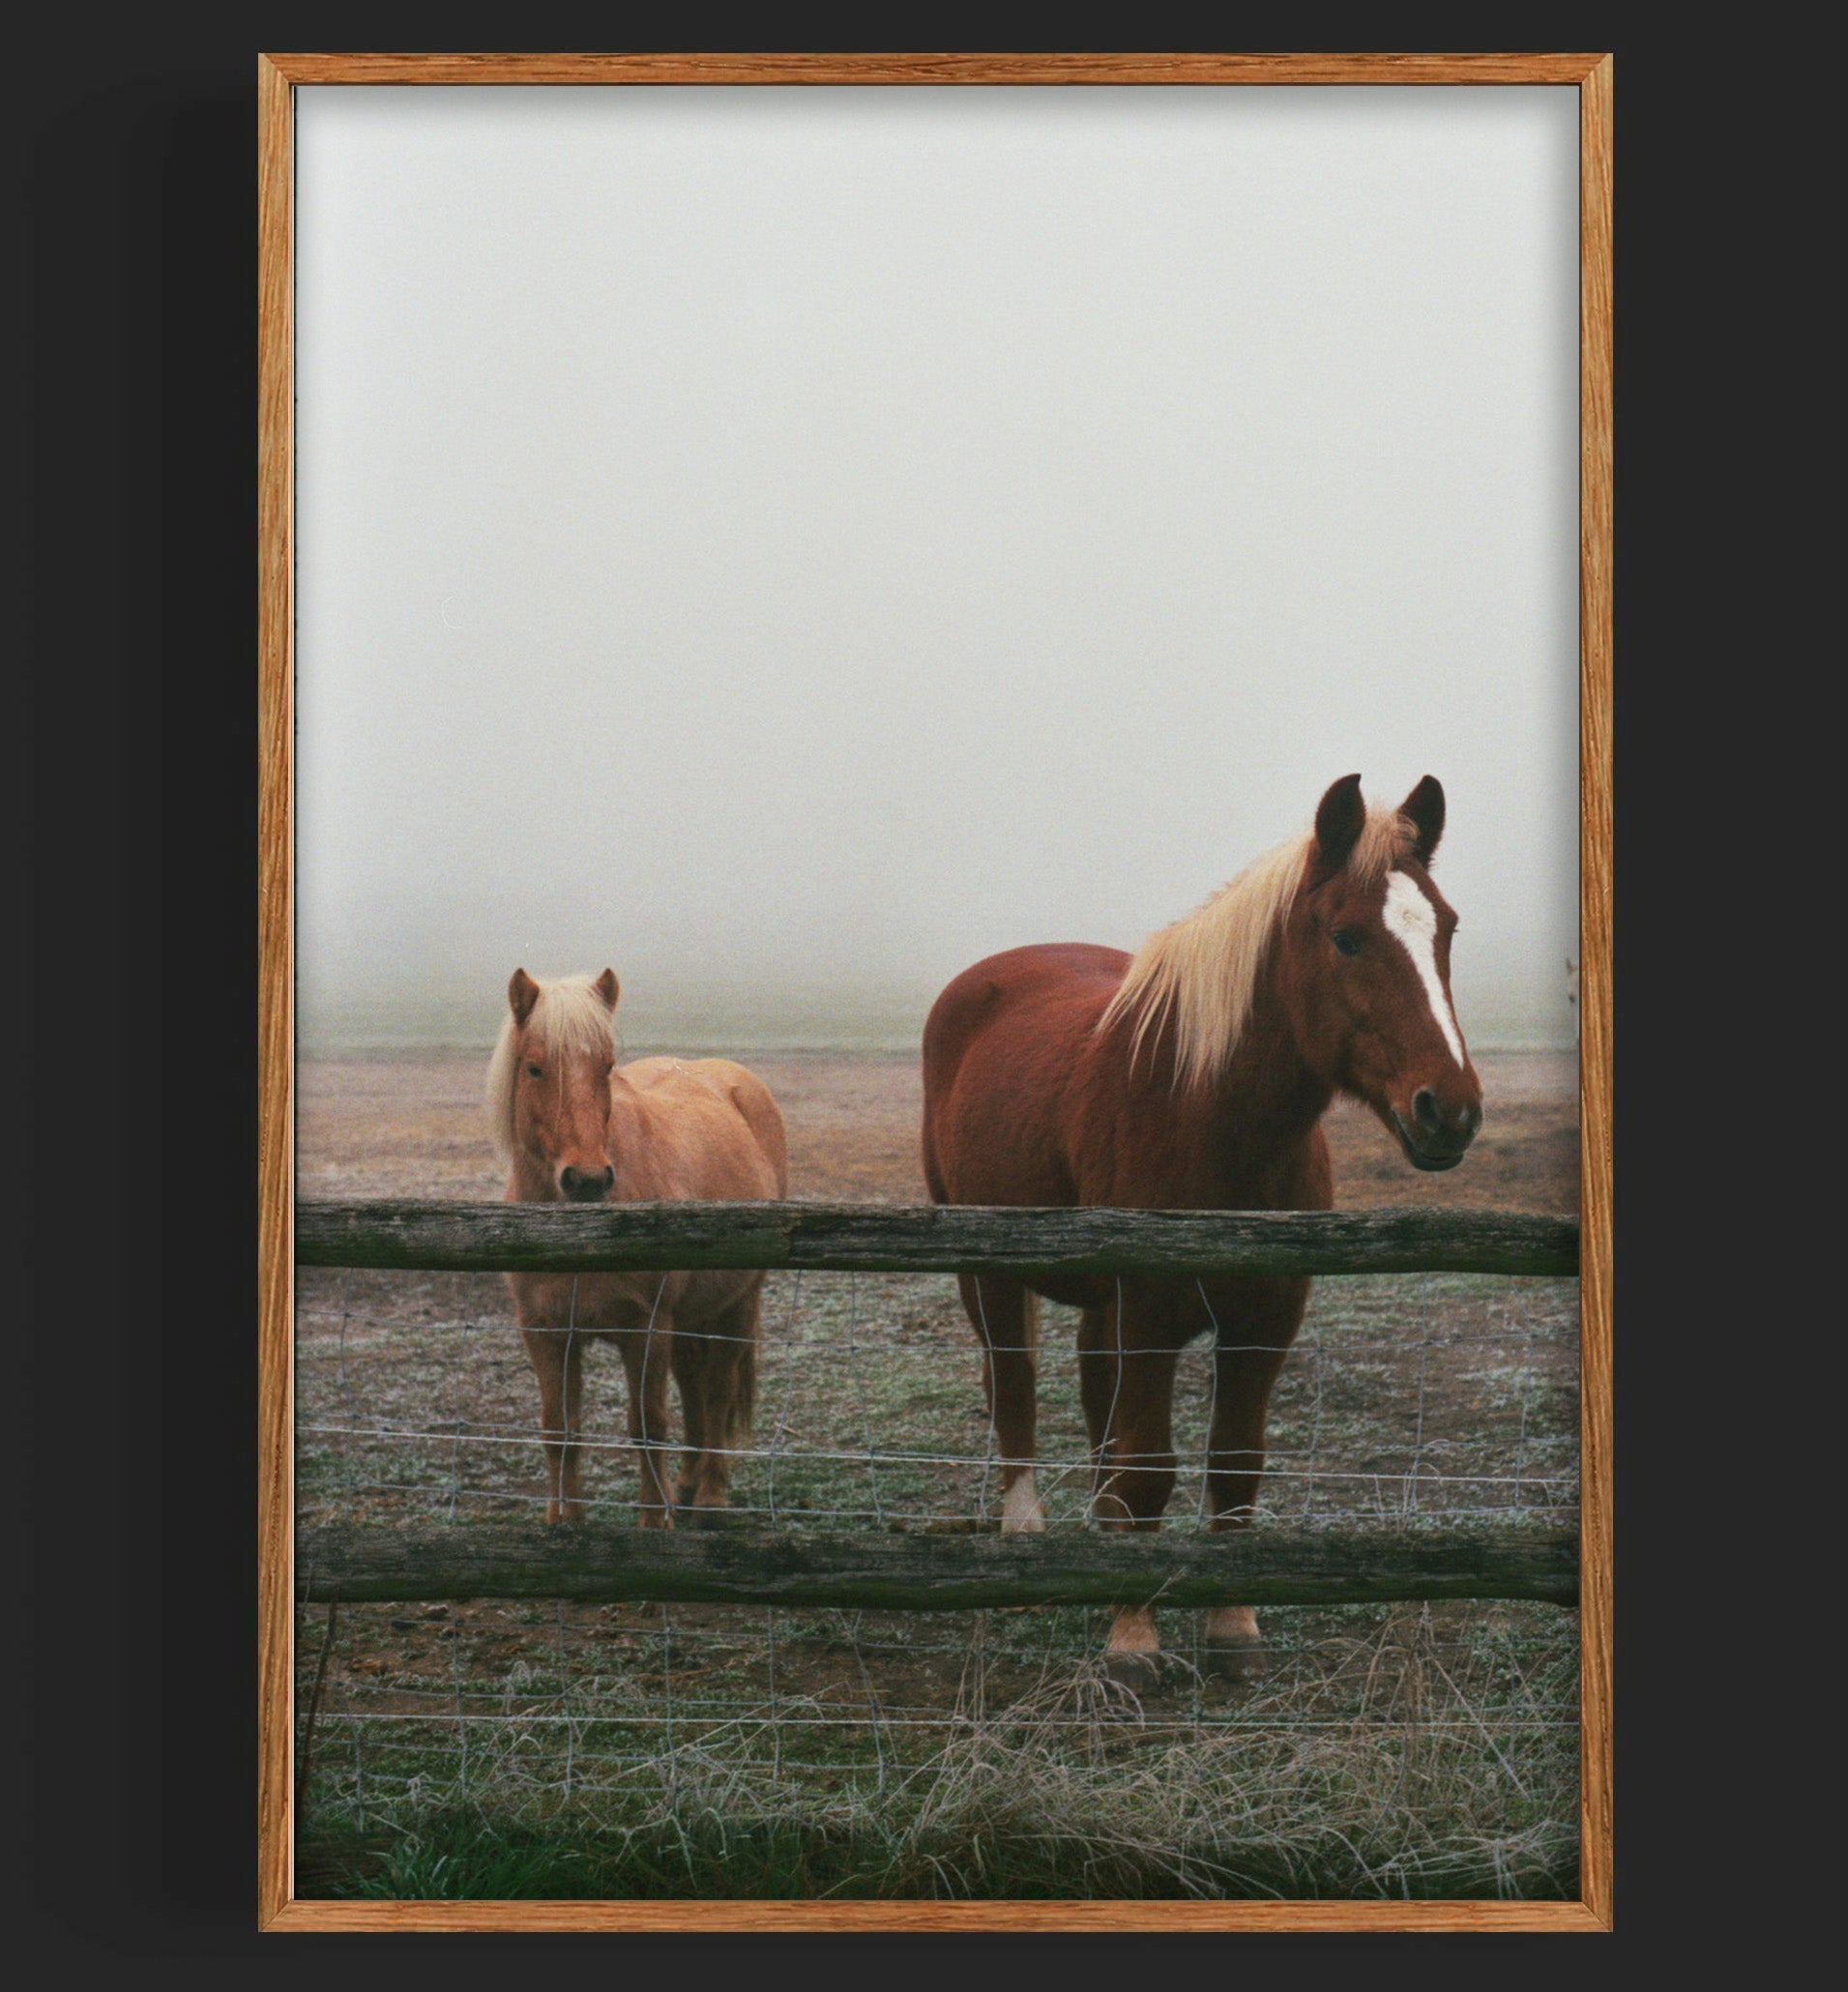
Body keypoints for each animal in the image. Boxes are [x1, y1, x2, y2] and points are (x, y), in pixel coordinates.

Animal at [486, 967, 788, 1526]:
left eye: (606, 1067)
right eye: (534, 1068)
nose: (586, 1180)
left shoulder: (646, 1329)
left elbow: (647, 1425)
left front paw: (652, 1521)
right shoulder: (545, 1332)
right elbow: (560, 1428)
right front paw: (563, 1521)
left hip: (739, 1302)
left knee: (718, 1388)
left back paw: (710, 1496)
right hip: (690, 1315)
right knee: (693, 1382)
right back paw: (686, 1483)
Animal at [921, 775, 1482, 1679]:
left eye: (1447, 929)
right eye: (1347, 937)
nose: (1450, 1112)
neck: (1206, 1117)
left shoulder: (1262, 1321)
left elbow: (1232, 1466)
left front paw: (1231, 1622)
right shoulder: (1147, 1312)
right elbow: (1148, 1465)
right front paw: (1132, 1635)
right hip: (989, 1268)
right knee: (1012, 1390)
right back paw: (1026, 1541)